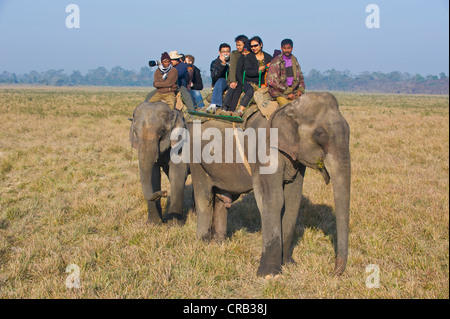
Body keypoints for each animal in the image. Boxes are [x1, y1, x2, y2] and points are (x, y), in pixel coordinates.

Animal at [188, 92, 350, 278]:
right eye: (320, 133)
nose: (332, 272)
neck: (287, 107)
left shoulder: (295, 157)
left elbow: (293, 200)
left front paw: (288, 264)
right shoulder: (264, 149)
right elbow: (273, 199)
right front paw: (269, 275)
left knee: (222, 199)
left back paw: (219, 244)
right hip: (196, 158)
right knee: (204, 196)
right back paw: (203, 245)